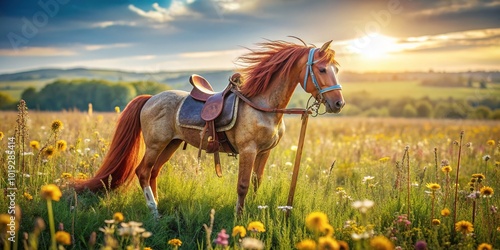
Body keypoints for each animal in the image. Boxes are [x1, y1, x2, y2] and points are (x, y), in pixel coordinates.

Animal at [74, 38, 346, 217]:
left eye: (336, 69)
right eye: (322, 69)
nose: (338, 103)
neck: (263, 106)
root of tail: (150, 98)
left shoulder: (264, 152)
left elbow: (256, 183)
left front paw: (254, 213)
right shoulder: (248, 151)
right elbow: (242, 186)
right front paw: (239, 219)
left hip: (171, 145)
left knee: (153, 172)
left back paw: (158, 207)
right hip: (155, 144)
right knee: (142, 172)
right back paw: (154, 213)